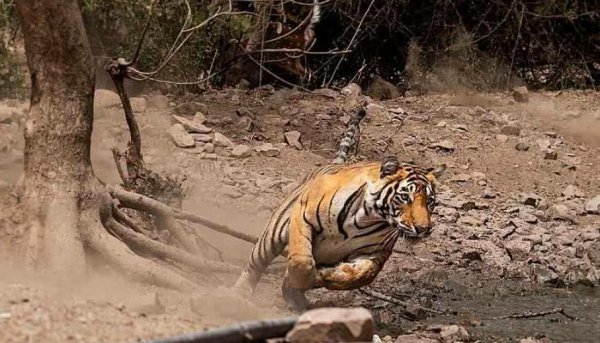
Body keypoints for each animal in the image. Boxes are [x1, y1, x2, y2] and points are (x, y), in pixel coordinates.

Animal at [234, 157, 446, 314]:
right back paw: (238, 295)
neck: (367, 218)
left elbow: (362, 275)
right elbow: (302, 262)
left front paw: (323, 275)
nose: (423, 228)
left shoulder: (375, 252)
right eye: (404, 197)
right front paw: (300, 278)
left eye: (430, 201)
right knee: (254, 266)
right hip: (273, 235)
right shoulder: (304, 217)